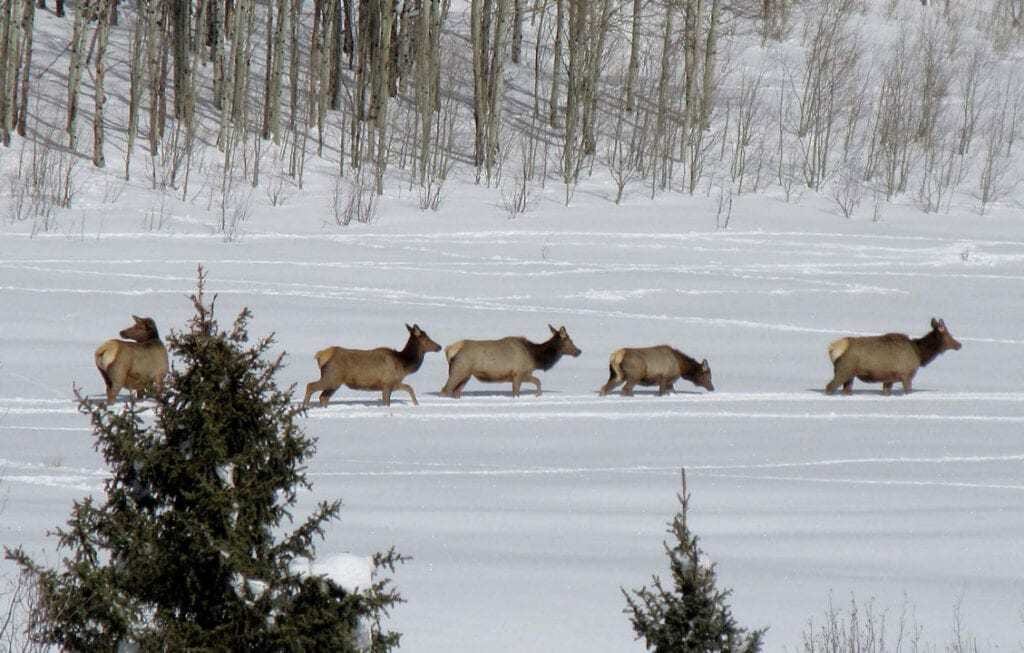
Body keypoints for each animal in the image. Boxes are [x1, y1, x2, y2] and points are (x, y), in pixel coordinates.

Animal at [303, 324, 442, 407]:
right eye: (426, 339)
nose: (439, 346)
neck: (403, 365)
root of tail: (320, 356)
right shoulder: (388, 382)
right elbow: (400, 393)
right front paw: (416, 404)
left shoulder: (392, 383)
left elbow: (407, 389)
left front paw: (416, 404)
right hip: (332, 377)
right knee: (310, 386)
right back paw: (305, 406)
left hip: (335, 381)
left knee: (323, 397)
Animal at [439, 325, 581, 398]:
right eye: (570, 341)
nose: (579, 351)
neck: (535, 357)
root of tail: (450, 350)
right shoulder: (519, 372)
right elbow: (529, 385)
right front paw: (537, 395)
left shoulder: (520, 374)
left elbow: (535, 382)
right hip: (459, 370)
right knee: (445, 389)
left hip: (466, 374)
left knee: (456, 391)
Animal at [825, 317, 962, 396]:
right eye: (948, 334)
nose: (959, 345)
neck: (919, 353)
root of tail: (833, 349)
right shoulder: (906, 375)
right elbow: (908, 391)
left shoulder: (888, 379)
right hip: (844, 370)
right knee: (829, 387)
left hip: (849, 374)